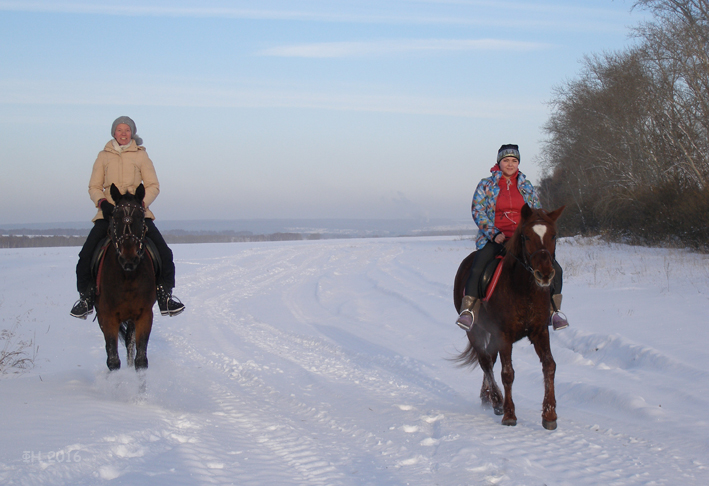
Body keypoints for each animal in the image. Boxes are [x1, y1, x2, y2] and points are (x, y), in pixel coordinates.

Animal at [95, 184, 155, 370]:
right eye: (115, 217)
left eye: (141, 217)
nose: (129, 259)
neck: (127, 277)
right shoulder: (107, 317)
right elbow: (113, 360)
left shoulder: (144, 315)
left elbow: (141, 359)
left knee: (130, 343)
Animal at [454, 204, 564, 430]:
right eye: (527, 236)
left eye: (553, 235)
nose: (545, 274)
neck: (524, 289)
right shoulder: (504, 335)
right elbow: (508, 373)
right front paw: (509, 414)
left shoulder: (540, 331)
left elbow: (549, 366)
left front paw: (549, 415)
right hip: (475, 331)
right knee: (485, 361)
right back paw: (497, 401)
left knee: (490, 359)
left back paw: (486, 397)